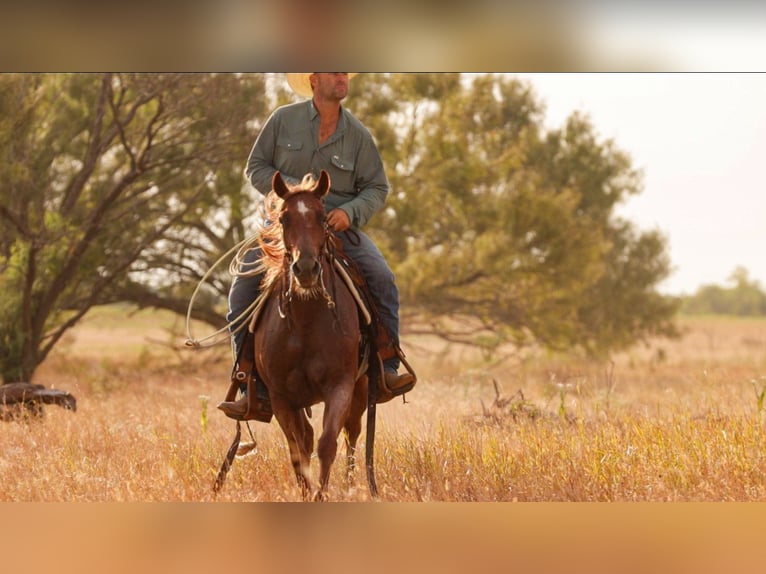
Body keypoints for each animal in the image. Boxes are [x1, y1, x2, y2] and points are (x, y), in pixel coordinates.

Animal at [247, 170, 375, 501]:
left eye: (322, 216)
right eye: (284, 218)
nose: (305, 269)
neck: (305, 322)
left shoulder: (340, 386)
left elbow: (328, 443)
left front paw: (321, 494)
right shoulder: (281, 397)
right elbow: (298, 450)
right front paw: (306, 493)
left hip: (360, 390)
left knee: (352, 434)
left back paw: (350, 486)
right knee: (306, 438)